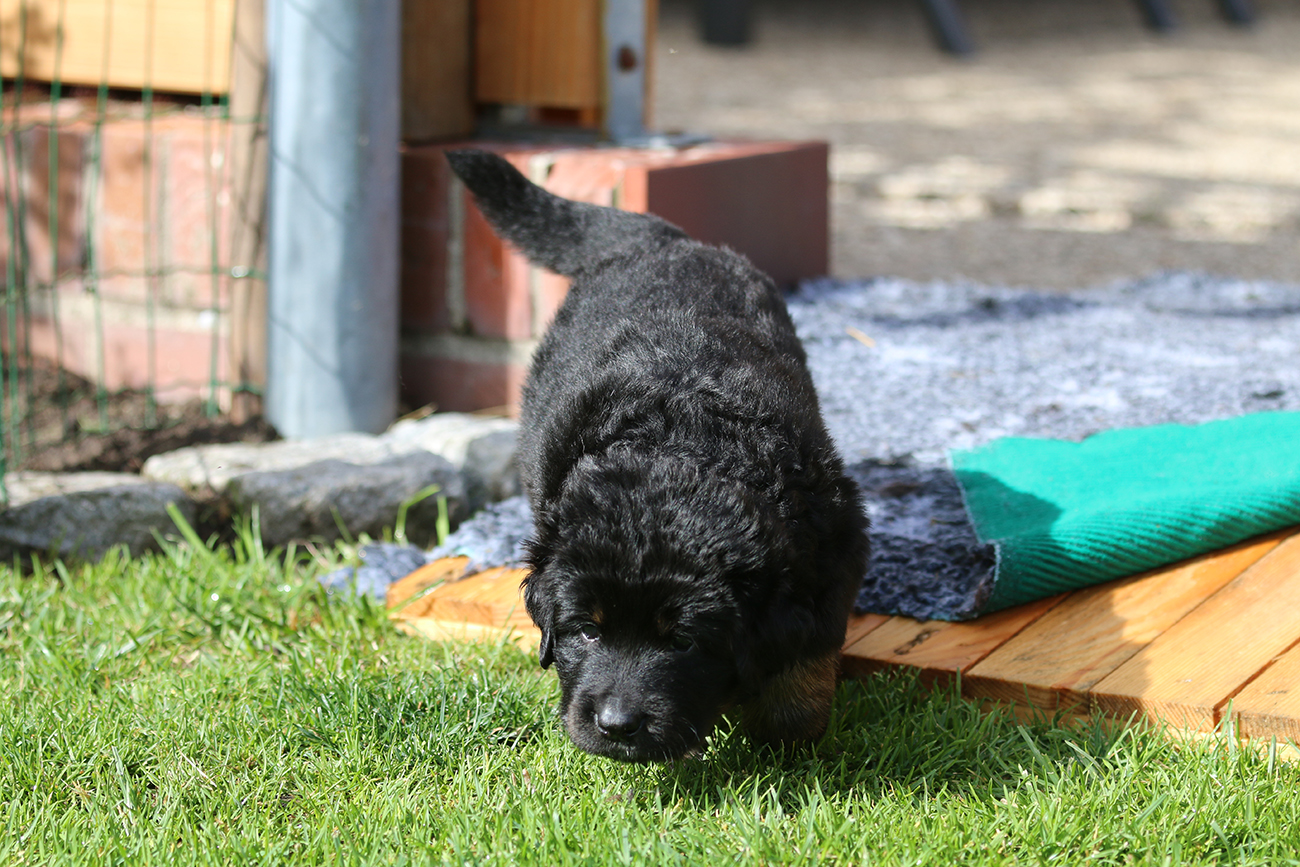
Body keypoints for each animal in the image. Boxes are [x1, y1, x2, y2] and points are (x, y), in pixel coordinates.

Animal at [445, 150, 869, 763]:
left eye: (683, 640)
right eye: (586, 630)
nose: (616, 725)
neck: (679, 450)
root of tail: (662, 241)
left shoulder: (833, 546)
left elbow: (806, 659)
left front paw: (784, 739)